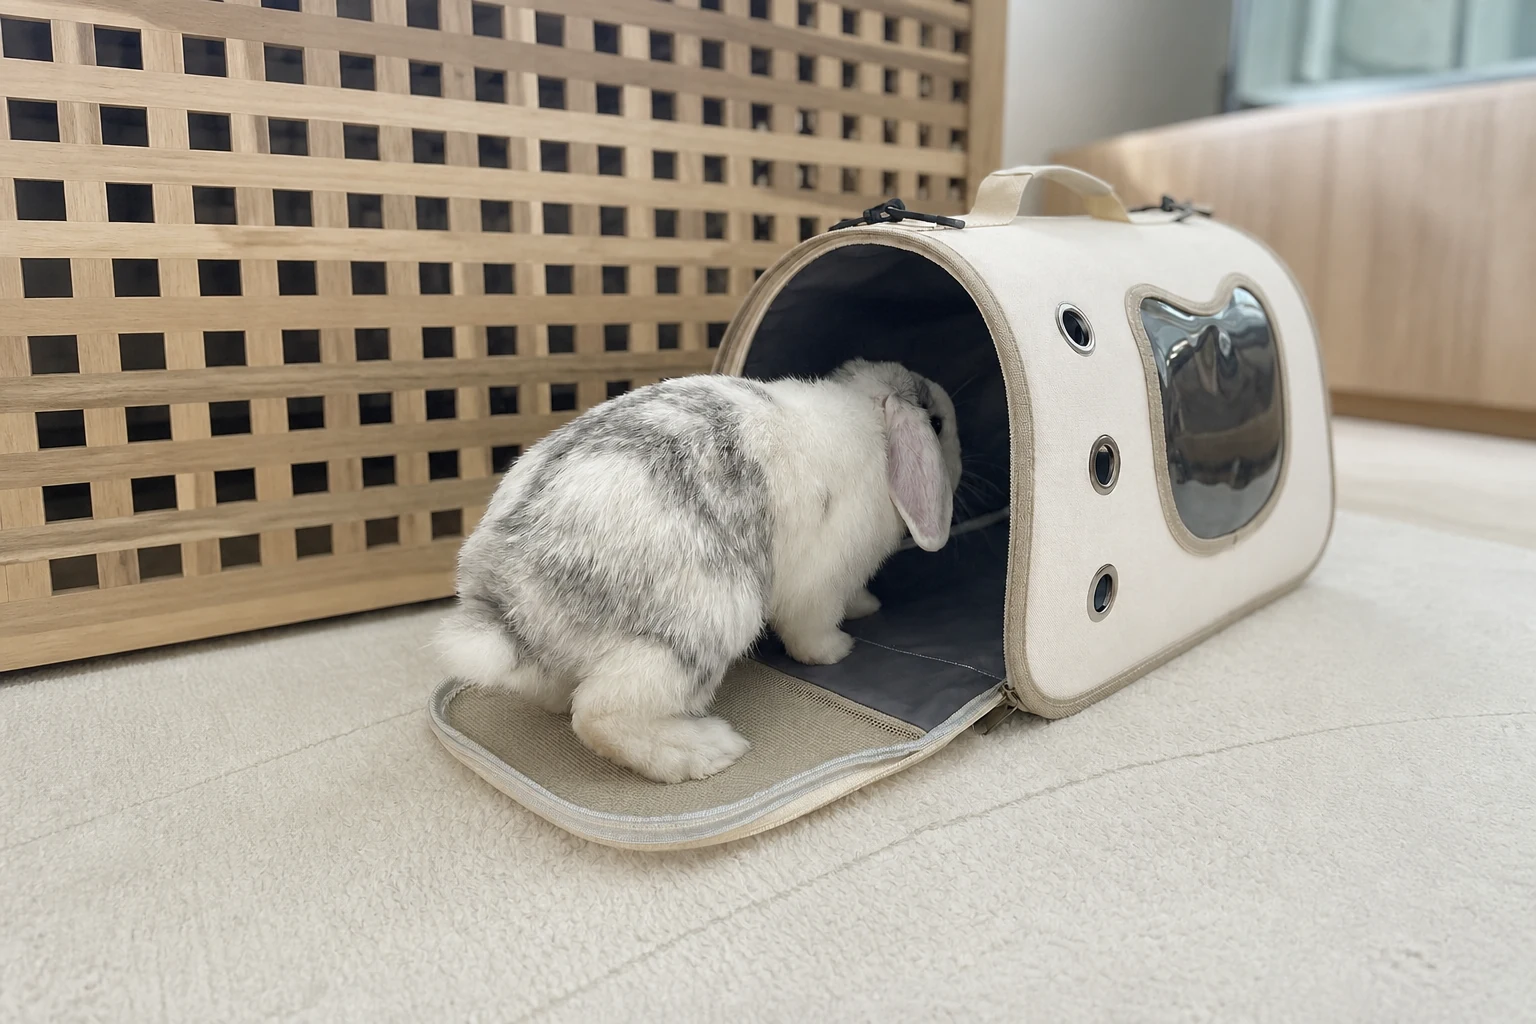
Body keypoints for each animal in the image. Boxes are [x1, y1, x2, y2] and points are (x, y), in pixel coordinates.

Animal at [435, 359, 962, 783]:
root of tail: (508, 605)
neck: (873, 425)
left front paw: (867, 607)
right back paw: (707, 751)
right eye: (936, 422)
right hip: (700, 629)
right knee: (600, 715)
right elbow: (809, 630)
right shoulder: (820, 585)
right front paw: (836, 651)